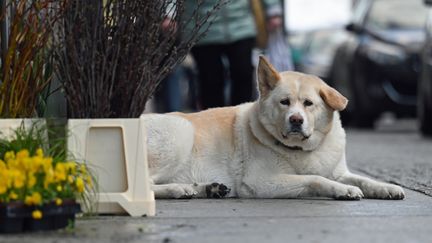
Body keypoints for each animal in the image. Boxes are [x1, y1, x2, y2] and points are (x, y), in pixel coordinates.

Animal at [145, 56, 404, 199]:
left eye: (308, 103)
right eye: (284, 102)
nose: (296, 120)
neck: (302, 150)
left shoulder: (340, 172)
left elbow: (363, 180)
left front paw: (386, 187)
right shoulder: (262, 181)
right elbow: (314, 179)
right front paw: (343, 190)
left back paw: (209, 189)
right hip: (180, 133)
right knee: (145, 184)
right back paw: (178, 189)